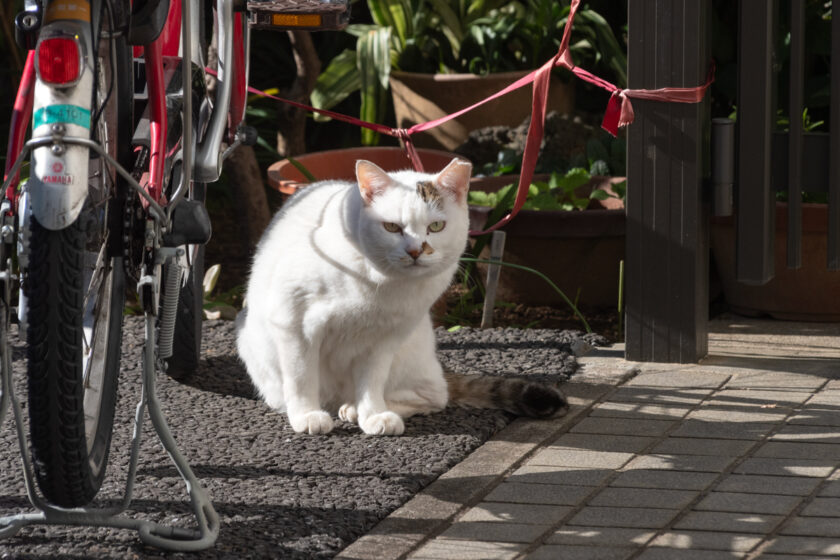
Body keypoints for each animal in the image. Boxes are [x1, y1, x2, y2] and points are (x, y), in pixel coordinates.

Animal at [233, 159, 568, 438]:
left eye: (436, 226)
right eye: (392, 227)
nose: (416, 250)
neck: (380, 284)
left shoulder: (385, 339)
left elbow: (372, 381)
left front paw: (372, 414)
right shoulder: (295, 323)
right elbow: (302, 376)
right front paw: (306, 415)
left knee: (435, 397)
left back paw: (356, 409)